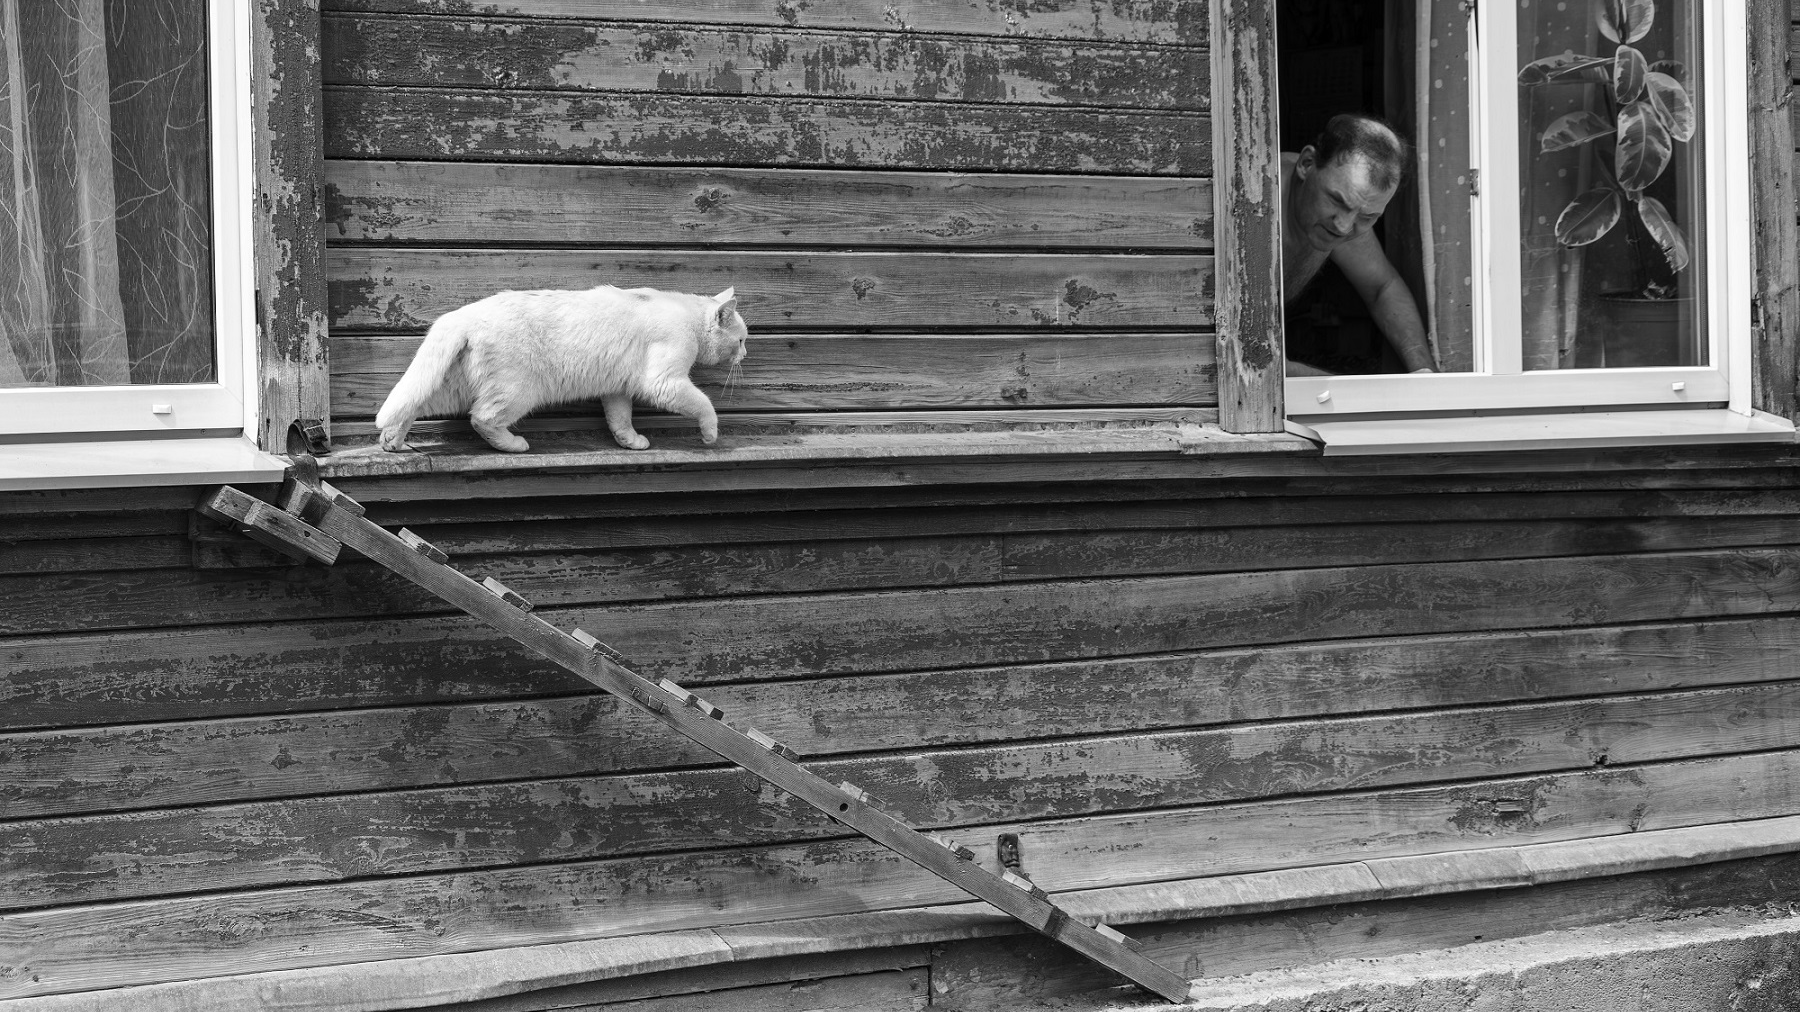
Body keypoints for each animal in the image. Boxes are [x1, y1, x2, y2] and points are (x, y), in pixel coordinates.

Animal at [376, 286, 748, 455]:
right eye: (742, 339)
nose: (745, 353)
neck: (687, 314)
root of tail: (462, 314)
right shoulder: (665, 382)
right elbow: (704, 405)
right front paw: (710, 435)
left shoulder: (617, 388)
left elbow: (620, 418)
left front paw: (629, 441)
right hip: (516, 391)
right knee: (481, 418)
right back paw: (513, 445)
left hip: (450, 385)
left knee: (412, 404)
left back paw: (391, 440)